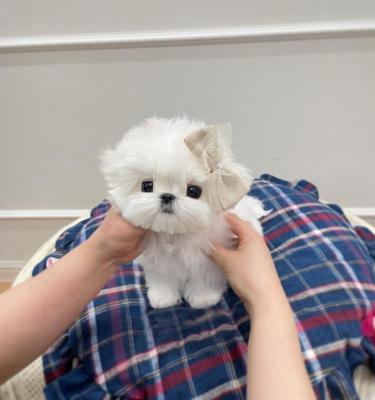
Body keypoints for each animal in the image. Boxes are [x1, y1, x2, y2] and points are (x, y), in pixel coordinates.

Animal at [101, 115, 268, 310]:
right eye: (147, 186)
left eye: (193, 191)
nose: (167, 196)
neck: (175, 233)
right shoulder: (158, 262)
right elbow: (162, 277)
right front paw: (163, 296)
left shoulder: (209, 261)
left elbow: (204, 278)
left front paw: (204, 297)